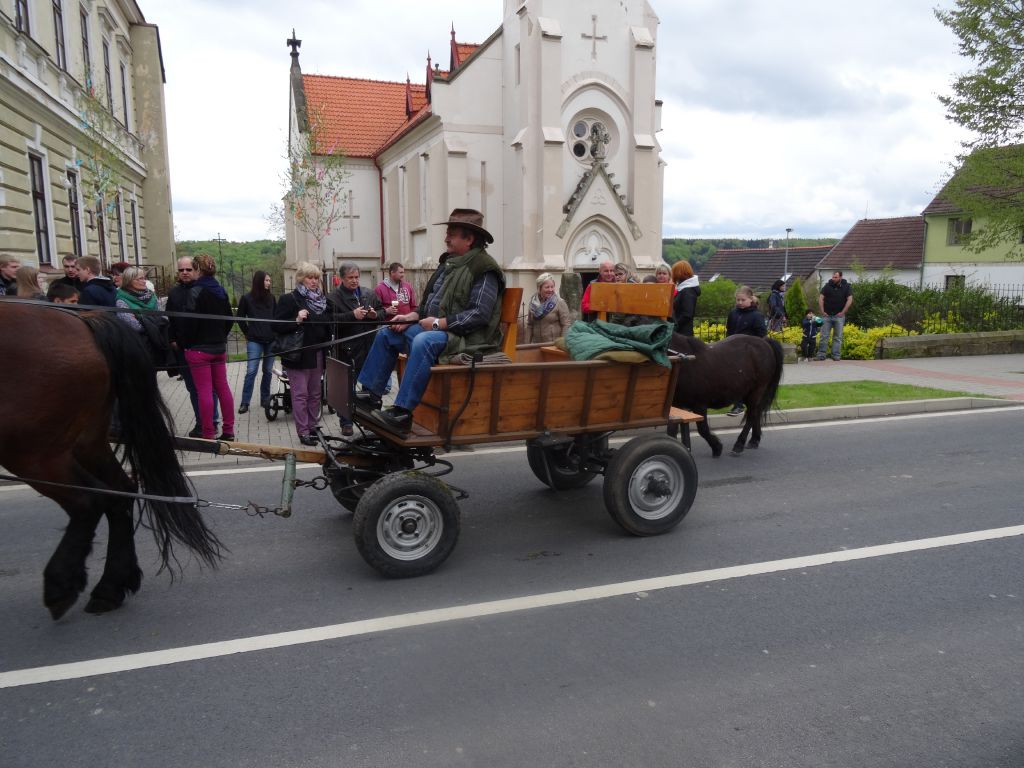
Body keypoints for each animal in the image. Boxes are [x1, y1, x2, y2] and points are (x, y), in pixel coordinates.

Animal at [0, 301, 222, 620]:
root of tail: (85, 322)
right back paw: (110, 586)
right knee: (118, 492)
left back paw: (65, 586)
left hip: (34, 453)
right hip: (84, 441)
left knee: (88, 502)